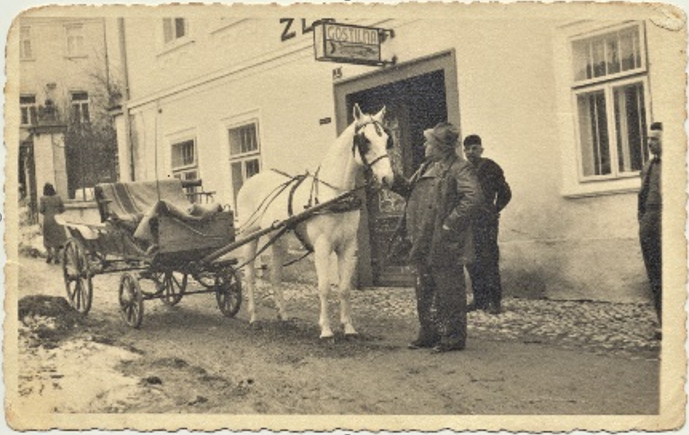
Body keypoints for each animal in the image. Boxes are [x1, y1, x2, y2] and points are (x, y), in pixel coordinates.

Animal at [236, 104, 394, 339]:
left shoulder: (348, 246)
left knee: (275, 275)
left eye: (386, 139)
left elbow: (344, 288)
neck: (333, 196)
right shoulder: (322, 246)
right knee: (249, 276)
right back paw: (254, 318)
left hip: (278, 240)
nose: (388, 178)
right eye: (365, 140)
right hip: (249, 238)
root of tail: (250, 180)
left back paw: (283, 315)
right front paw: (326, 330)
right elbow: (324, 287)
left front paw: (348, 327)